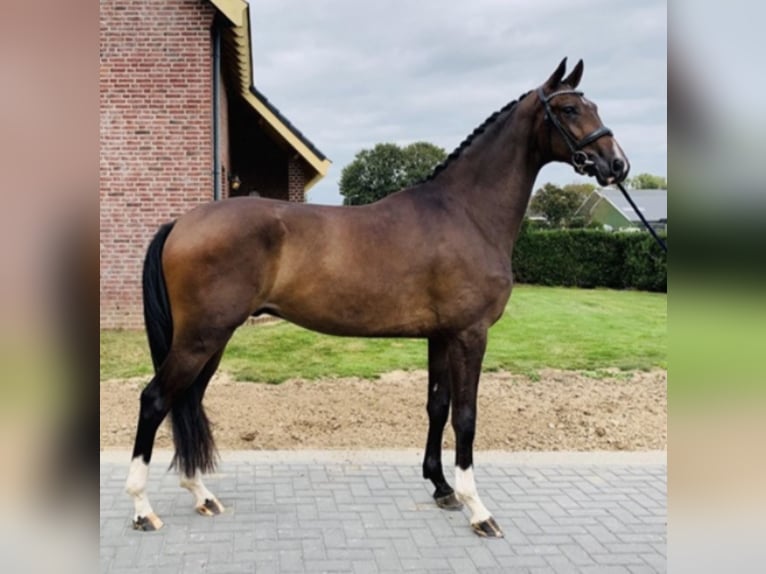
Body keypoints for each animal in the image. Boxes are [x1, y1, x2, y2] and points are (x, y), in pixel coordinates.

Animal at [125, 58, 629, 537]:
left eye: (594, 105)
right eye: (570, 109)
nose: (617, 165)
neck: (465, 212)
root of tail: (182, 223)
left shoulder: (441, 336)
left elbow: (437, 407)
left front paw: (442, 488)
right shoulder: (470, 335)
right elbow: (466, 416)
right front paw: (478, 509)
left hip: (211, 339)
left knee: (186, 401)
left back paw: (201, 494)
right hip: (202, 337)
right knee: (155, 399)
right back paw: (143, 509)